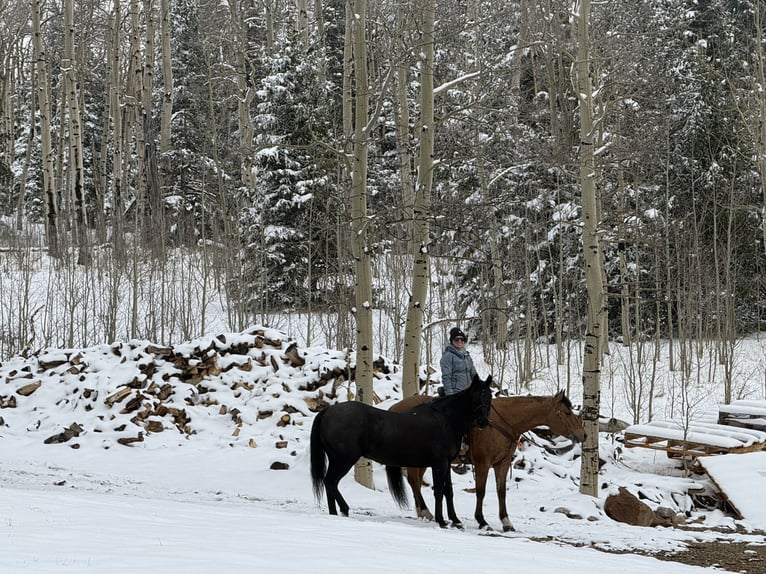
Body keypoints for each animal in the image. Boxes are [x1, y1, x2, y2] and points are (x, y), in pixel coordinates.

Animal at [310, 374, 493, 528]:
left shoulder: (446, 464)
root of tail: (327, 411)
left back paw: (335, 513)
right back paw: (343, 510)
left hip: (336, 459)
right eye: (476, 396)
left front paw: (455, 520)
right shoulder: (439, 463)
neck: (445, 419)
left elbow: (448, 491)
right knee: (330, 481)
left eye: (489, 396)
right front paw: (441, 521)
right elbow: (439, 491)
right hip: (344, 460)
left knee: (329, 483)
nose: (483, 422)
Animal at [389, 390, 585, 531]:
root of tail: (395, 407)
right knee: (413, 480)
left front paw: (506, 522)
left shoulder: (502, 464)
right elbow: (481, 491)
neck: (502, 422)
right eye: (567, 412)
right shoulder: (483, 463)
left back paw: (423, 511)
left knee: (415, 481)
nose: (583, 435)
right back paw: (425, 511)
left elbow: (501, 492)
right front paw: (482, 521)